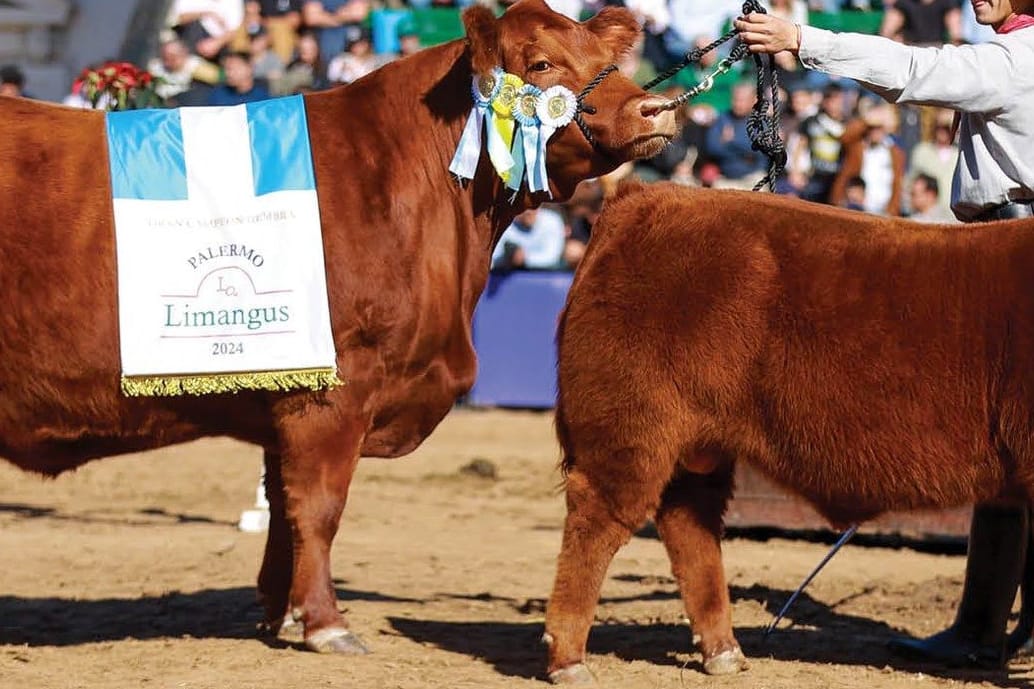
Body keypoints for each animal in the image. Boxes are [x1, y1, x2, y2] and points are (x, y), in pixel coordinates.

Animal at [0, 0, 678, 653]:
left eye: (606, 58)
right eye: (540, 64)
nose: (657, 109)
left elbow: (283, 510)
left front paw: (280, 614)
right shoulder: (332, 387)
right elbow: (318, 506)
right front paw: (326, 625)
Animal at [545, 182, 1034, 682]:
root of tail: (646, 194)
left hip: (697, 447)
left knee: (688, 524)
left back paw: (723, 653)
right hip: (631, 430)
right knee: (596, 521)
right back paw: (569, 661)